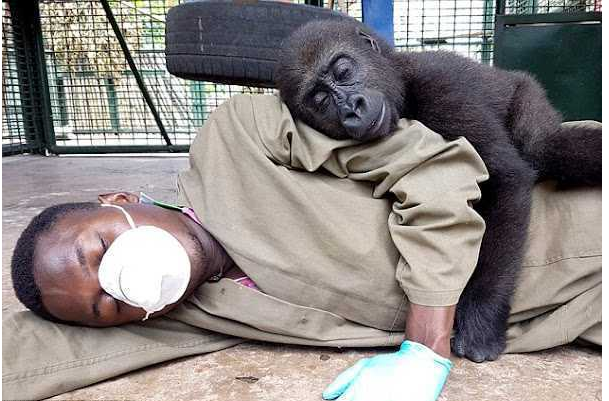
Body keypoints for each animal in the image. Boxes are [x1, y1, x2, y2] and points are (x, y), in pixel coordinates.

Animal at [274, 18, 600, 362]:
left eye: (343, 72)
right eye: (321, 101)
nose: (352, 107)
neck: (402, 81)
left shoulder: (440, 87)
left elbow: (505, 179)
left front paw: (481, 318)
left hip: (528, 93)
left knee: (542, 146)